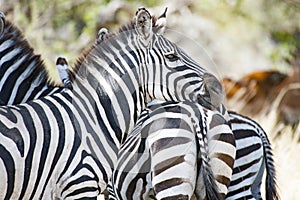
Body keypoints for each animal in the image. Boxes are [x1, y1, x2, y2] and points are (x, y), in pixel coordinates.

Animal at [0, 7, 226, 198]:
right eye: (171, 57)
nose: (218, 89)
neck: (91, 117)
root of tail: (197, 115)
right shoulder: (79, 186)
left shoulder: (81, 185)